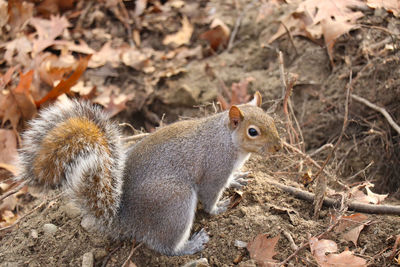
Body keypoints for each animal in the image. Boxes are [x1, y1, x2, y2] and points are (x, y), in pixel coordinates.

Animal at [15, 92, 282, 258]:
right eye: (253, 132)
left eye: (272, 120)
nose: (278, 147)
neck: (227, 139)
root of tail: (124, 219)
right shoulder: (215, 169)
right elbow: (210, 198)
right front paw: (219, 207)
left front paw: (237, 179)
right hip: (174, 202)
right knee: (164, 245)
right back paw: (190, 245)